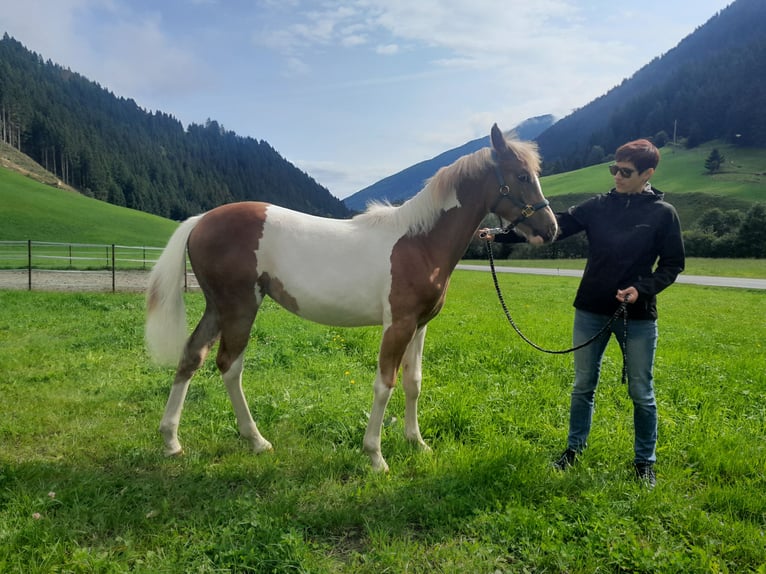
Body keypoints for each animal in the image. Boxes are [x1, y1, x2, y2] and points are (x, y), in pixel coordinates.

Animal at [145, 123, 558, 472]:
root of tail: (200, 220)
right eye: (522, 176)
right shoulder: (398, 325)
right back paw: (257, 441)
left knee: (192, 356)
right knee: (229, 366)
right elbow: (384, 384)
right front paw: (375, 456)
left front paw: (417, 443)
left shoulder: (420, 326)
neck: (419, 241)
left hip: (217, 308)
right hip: (240, 308)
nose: (551, 229)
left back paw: (171, 441)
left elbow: (413, 382)